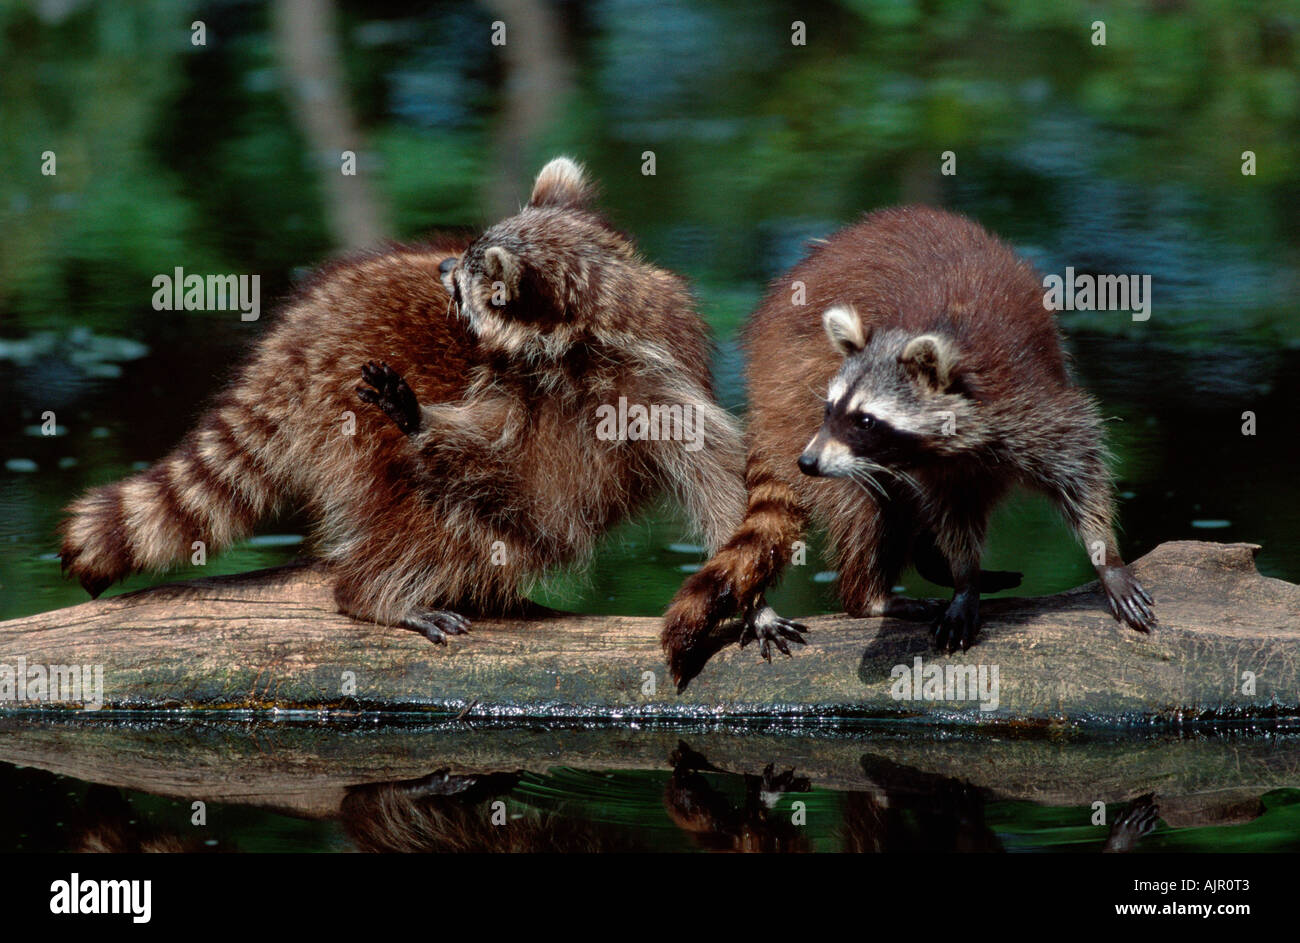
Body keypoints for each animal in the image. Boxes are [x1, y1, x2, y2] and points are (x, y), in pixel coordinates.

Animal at [60, 158, 745, 640]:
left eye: (466, 283)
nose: (442, 267)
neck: (600, 316)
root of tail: (296, 337)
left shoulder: (654, 378)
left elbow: (713, 468)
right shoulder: (516, 385)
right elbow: (481, 440)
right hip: (345, 405)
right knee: (434, 506)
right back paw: (376, 593)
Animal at [662, 205, 1155, 688]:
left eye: (864, 420)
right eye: (830, 410)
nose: (806, 461)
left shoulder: (1032, 401)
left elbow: (1081, 470)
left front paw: (1105, 555)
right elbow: (952, 516)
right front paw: (964, 579)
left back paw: (922, 563)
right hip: (794, 385)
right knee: (862, 509)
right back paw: (870, 596)